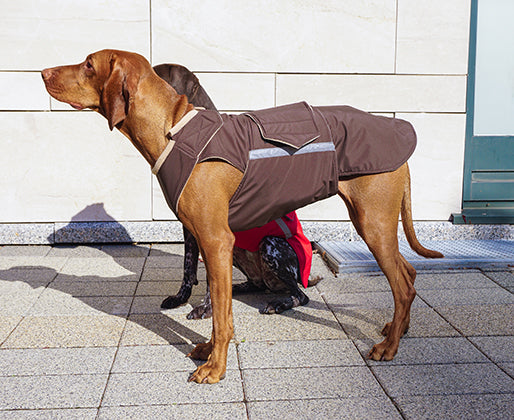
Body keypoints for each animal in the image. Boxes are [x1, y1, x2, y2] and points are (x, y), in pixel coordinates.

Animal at [41, 49, 440, 384]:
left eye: (88, 64)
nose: (42, 71)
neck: (171, 127)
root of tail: (399, 131)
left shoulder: (216, 240)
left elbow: (220, 313)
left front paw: (215, 367)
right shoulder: (206, 240)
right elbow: (216, 301)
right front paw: (207, 350)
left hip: (367, 225)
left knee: (398, 285)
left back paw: (389, 346)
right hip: (369, 223)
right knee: (409, 272)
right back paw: (397, 329)